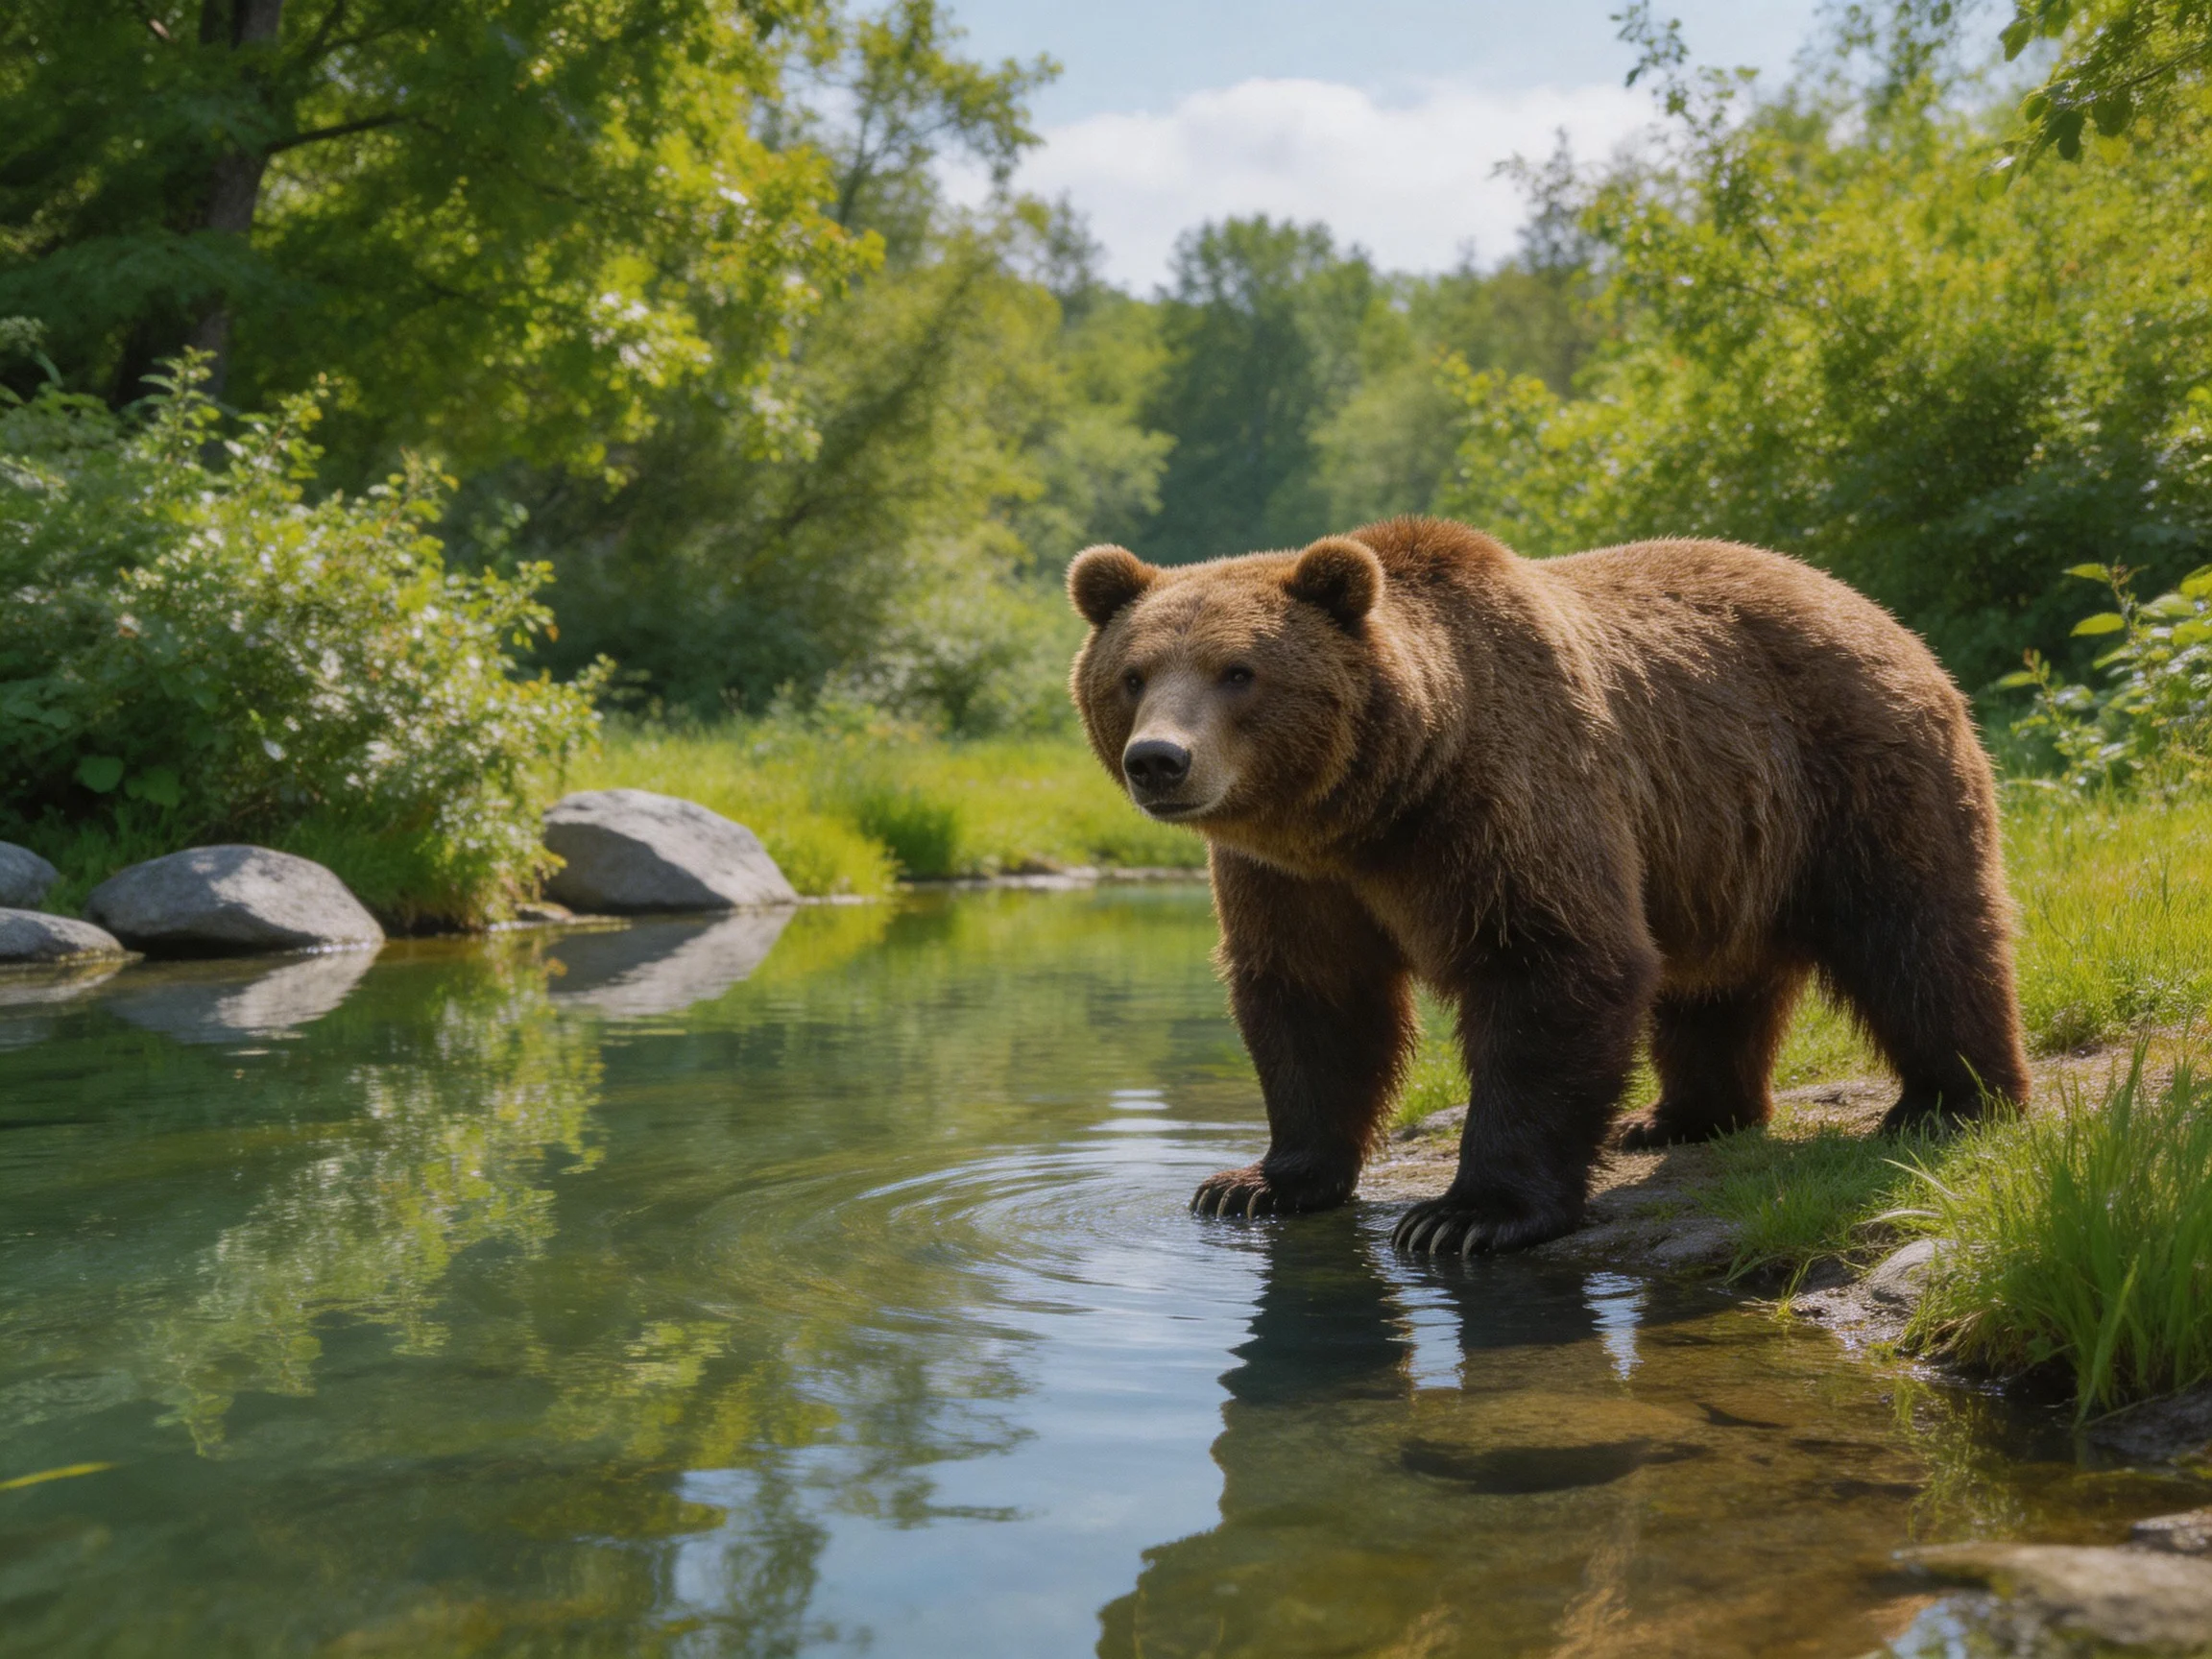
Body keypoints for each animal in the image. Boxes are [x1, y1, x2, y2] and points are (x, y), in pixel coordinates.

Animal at [1066, 515, 2029, 1255]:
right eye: (1133, 675)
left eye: (1239, 672)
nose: (1159, 760)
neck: (1375, 804)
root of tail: (1873, 608)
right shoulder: (1291, 877)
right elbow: (1312, 998)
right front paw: (1255, 1182)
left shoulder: (1505, 800)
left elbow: (1553, 964)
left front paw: (1465, 1216)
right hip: (1718, 844)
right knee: (1717, 983)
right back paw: (1682, 1116)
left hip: (1855, 771)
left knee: (1921, 935)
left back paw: (1952, 1101)